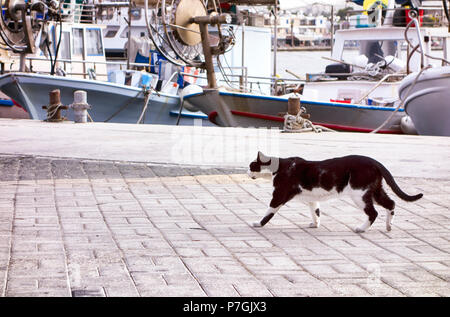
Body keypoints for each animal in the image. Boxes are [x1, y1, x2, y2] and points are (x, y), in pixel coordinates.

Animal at [248, 151, 424, 232]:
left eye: (251, 166)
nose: (248, 172)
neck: (279, 167)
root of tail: (374, 162)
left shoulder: (278, 195)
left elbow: (269, 212)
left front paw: (258, 223)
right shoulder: (312, 198)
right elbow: (316, 212)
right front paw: (315, 224)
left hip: (360, 194)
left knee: (373, 212)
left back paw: (361, 229)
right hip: (375, 191)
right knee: (391, 203)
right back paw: (388, 226)